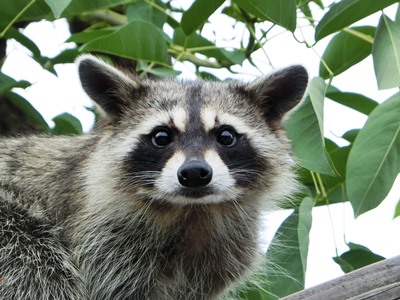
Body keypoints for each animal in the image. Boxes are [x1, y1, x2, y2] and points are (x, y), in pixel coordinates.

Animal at [0, 55, 308, 300]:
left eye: (226, 136)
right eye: (161, 137)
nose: (194, 173)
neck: (192, 210)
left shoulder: (224, 253)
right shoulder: (100, 237)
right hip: (13, 226)